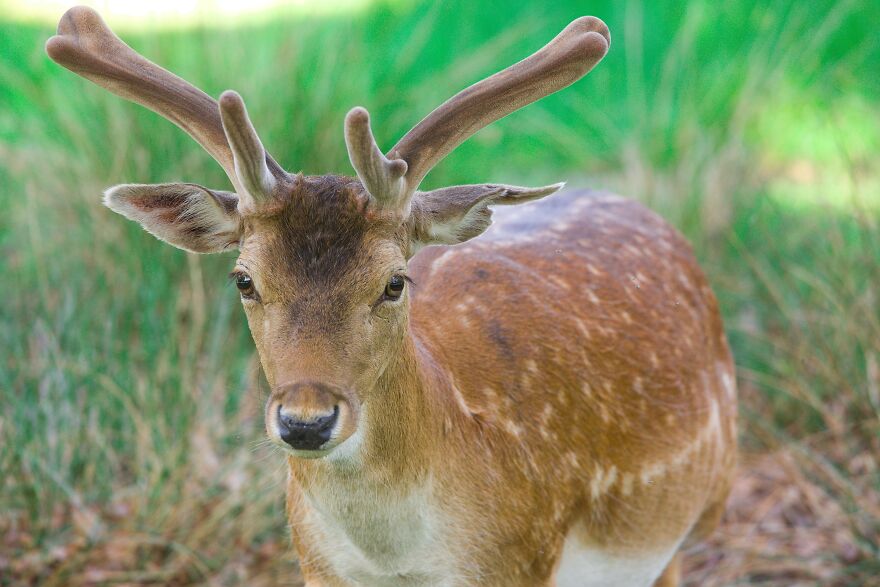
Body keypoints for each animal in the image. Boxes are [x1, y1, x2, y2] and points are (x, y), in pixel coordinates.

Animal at [46, 6, 737, 586]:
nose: (305, 421)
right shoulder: (315, 561)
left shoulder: (522, 556)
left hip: (701, 506)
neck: (398, 559)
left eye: (395, 281)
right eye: (243, 279)